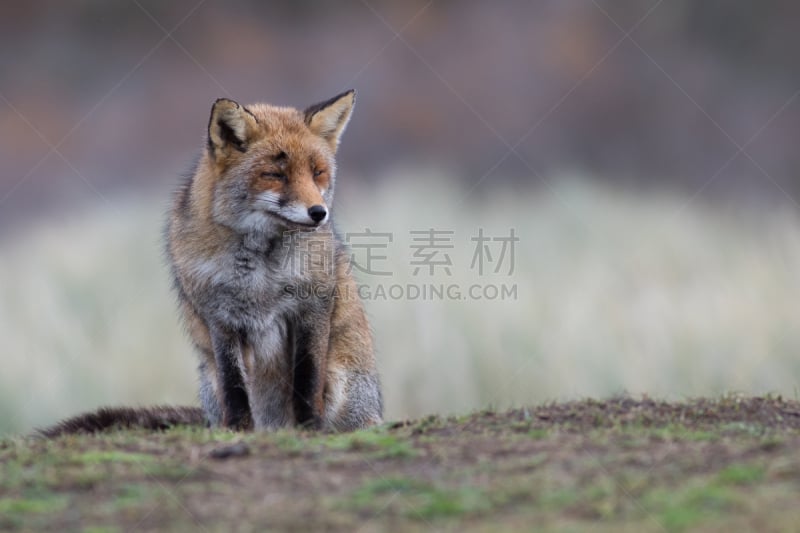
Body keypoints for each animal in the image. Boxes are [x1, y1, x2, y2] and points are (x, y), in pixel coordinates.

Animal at [39, 88, 382, 436]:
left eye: (317, 173)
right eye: (275, 175)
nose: (318, 213)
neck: (261, 271)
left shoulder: (311, 308)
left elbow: (307, 380)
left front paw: (309, 428)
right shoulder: (220, 318)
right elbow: (235, 387)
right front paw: (237, 430)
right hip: (209, 381)